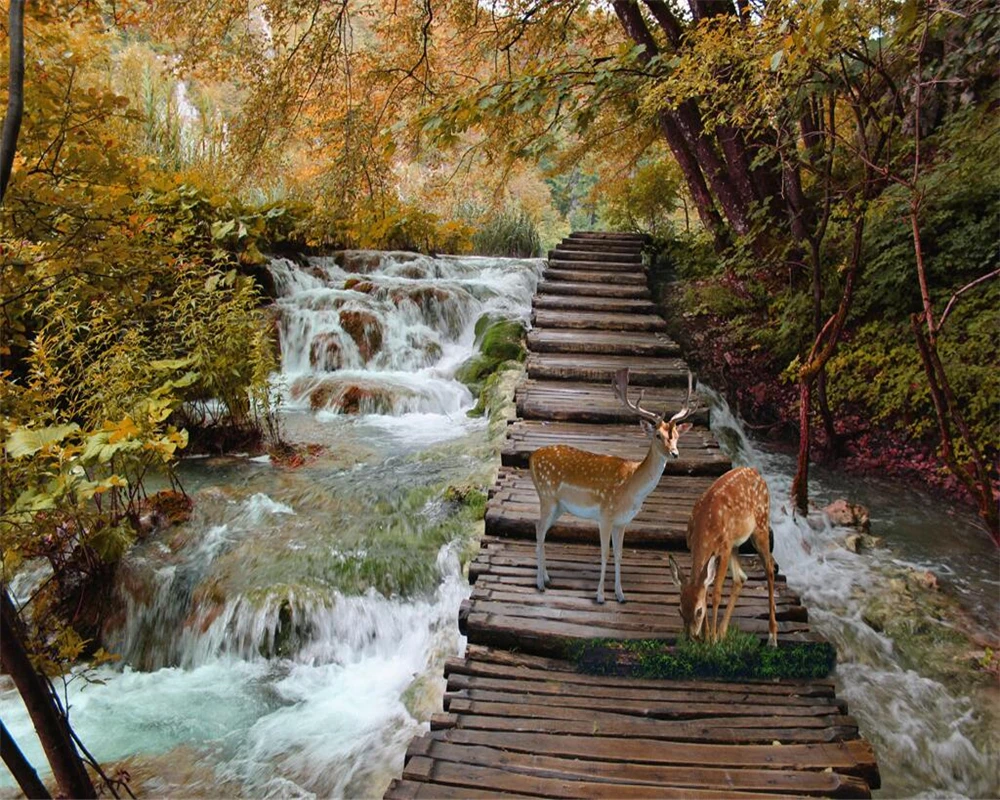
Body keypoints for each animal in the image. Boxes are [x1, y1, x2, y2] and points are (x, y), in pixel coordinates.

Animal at [529, 369, 695, 605]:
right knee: (540, 529)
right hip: (547, 496)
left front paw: (620, 594)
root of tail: (532, 458)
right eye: (658, 435)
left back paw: (546, 577)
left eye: (677, 436)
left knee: (539, 528)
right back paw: (540, 583)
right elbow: (605, 554)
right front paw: (600, 596)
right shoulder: (605, 515)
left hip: (559, 506)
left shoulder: (623, 521)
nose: (675, 453)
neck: (631, 488)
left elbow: (619, 555)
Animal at [668, 467, 778, 647]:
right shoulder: (694, 547)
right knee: (741, 577)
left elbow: (716, 594)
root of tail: (755, 471)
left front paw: (711, 639)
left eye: (699, 611)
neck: (704, 528)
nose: (690, 637)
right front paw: (707, 636)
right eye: (680, 610)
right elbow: (705, 589)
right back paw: (722, 632)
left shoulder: (724, 549)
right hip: (735, 543)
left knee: (769, 569)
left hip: (760, 526)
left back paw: (772, 636)